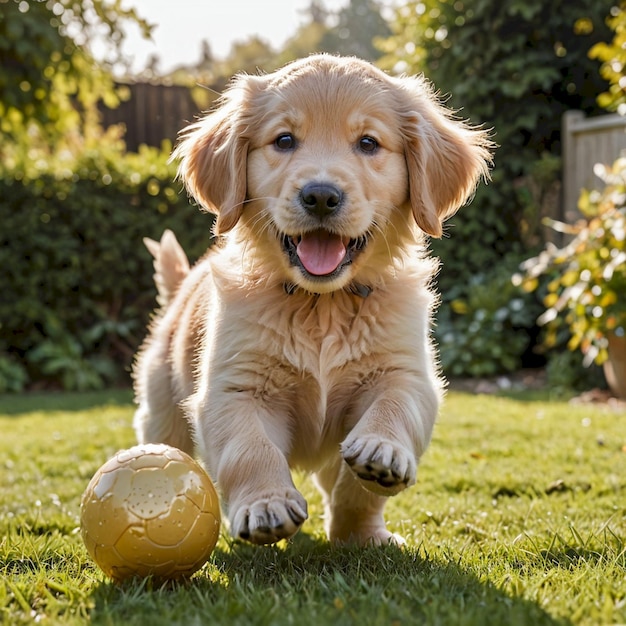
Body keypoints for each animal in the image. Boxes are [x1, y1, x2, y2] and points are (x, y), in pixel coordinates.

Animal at [133, 53, 492, 544]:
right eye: (284, 140)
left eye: (368, 143)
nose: (321, 195)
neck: (323, 304)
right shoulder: (235, 387)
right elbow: (250, 449)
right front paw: (265, 504)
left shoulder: (407, 372)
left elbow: (390, 419)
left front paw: (368, 506)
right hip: (162, 411)